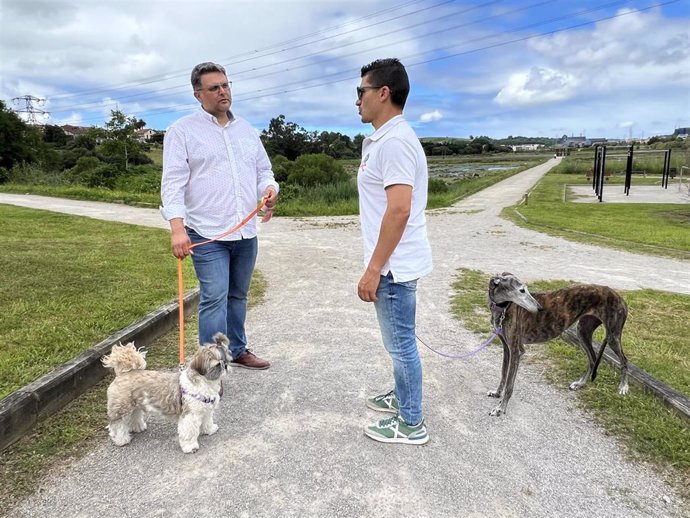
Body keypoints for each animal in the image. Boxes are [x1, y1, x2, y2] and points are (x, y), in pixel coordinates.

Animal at [102, 336, 230, 452]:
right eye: (217, 364)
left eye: (225, 360)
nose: (225, 365)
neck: (205, 382)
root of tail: (123, 374)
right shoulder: (190, 416)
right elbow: (189, 433)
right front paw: (190, 447)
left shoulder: (206, 410)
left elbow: (207, 421)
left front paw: (210, 430)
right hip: (120, 409)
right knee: (117, 425)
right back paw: (121, 440)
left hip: (134, 405)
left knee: (135, 415)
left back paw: (138, 427)